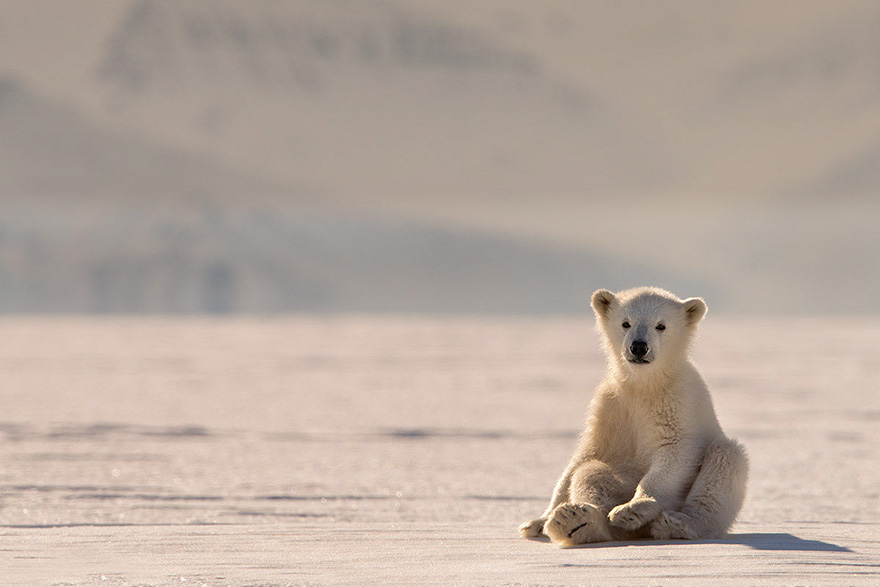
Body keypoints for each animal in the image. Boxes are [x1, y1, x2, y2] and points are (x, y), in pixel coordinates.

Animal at [519, 287, 748, 547]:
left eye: (661, 325)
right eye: (625, 323)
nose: (639, 346)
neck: (645, 385)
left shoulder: (680, 402)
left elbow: (675, 451)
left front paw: (633, 508)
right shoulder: (612, 406)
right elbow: (586, 455)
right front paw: (538, 522)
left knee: (725, 457)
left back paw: (677, 523)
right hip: (624, 474)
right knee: (593, 472)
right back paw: (575, 521)